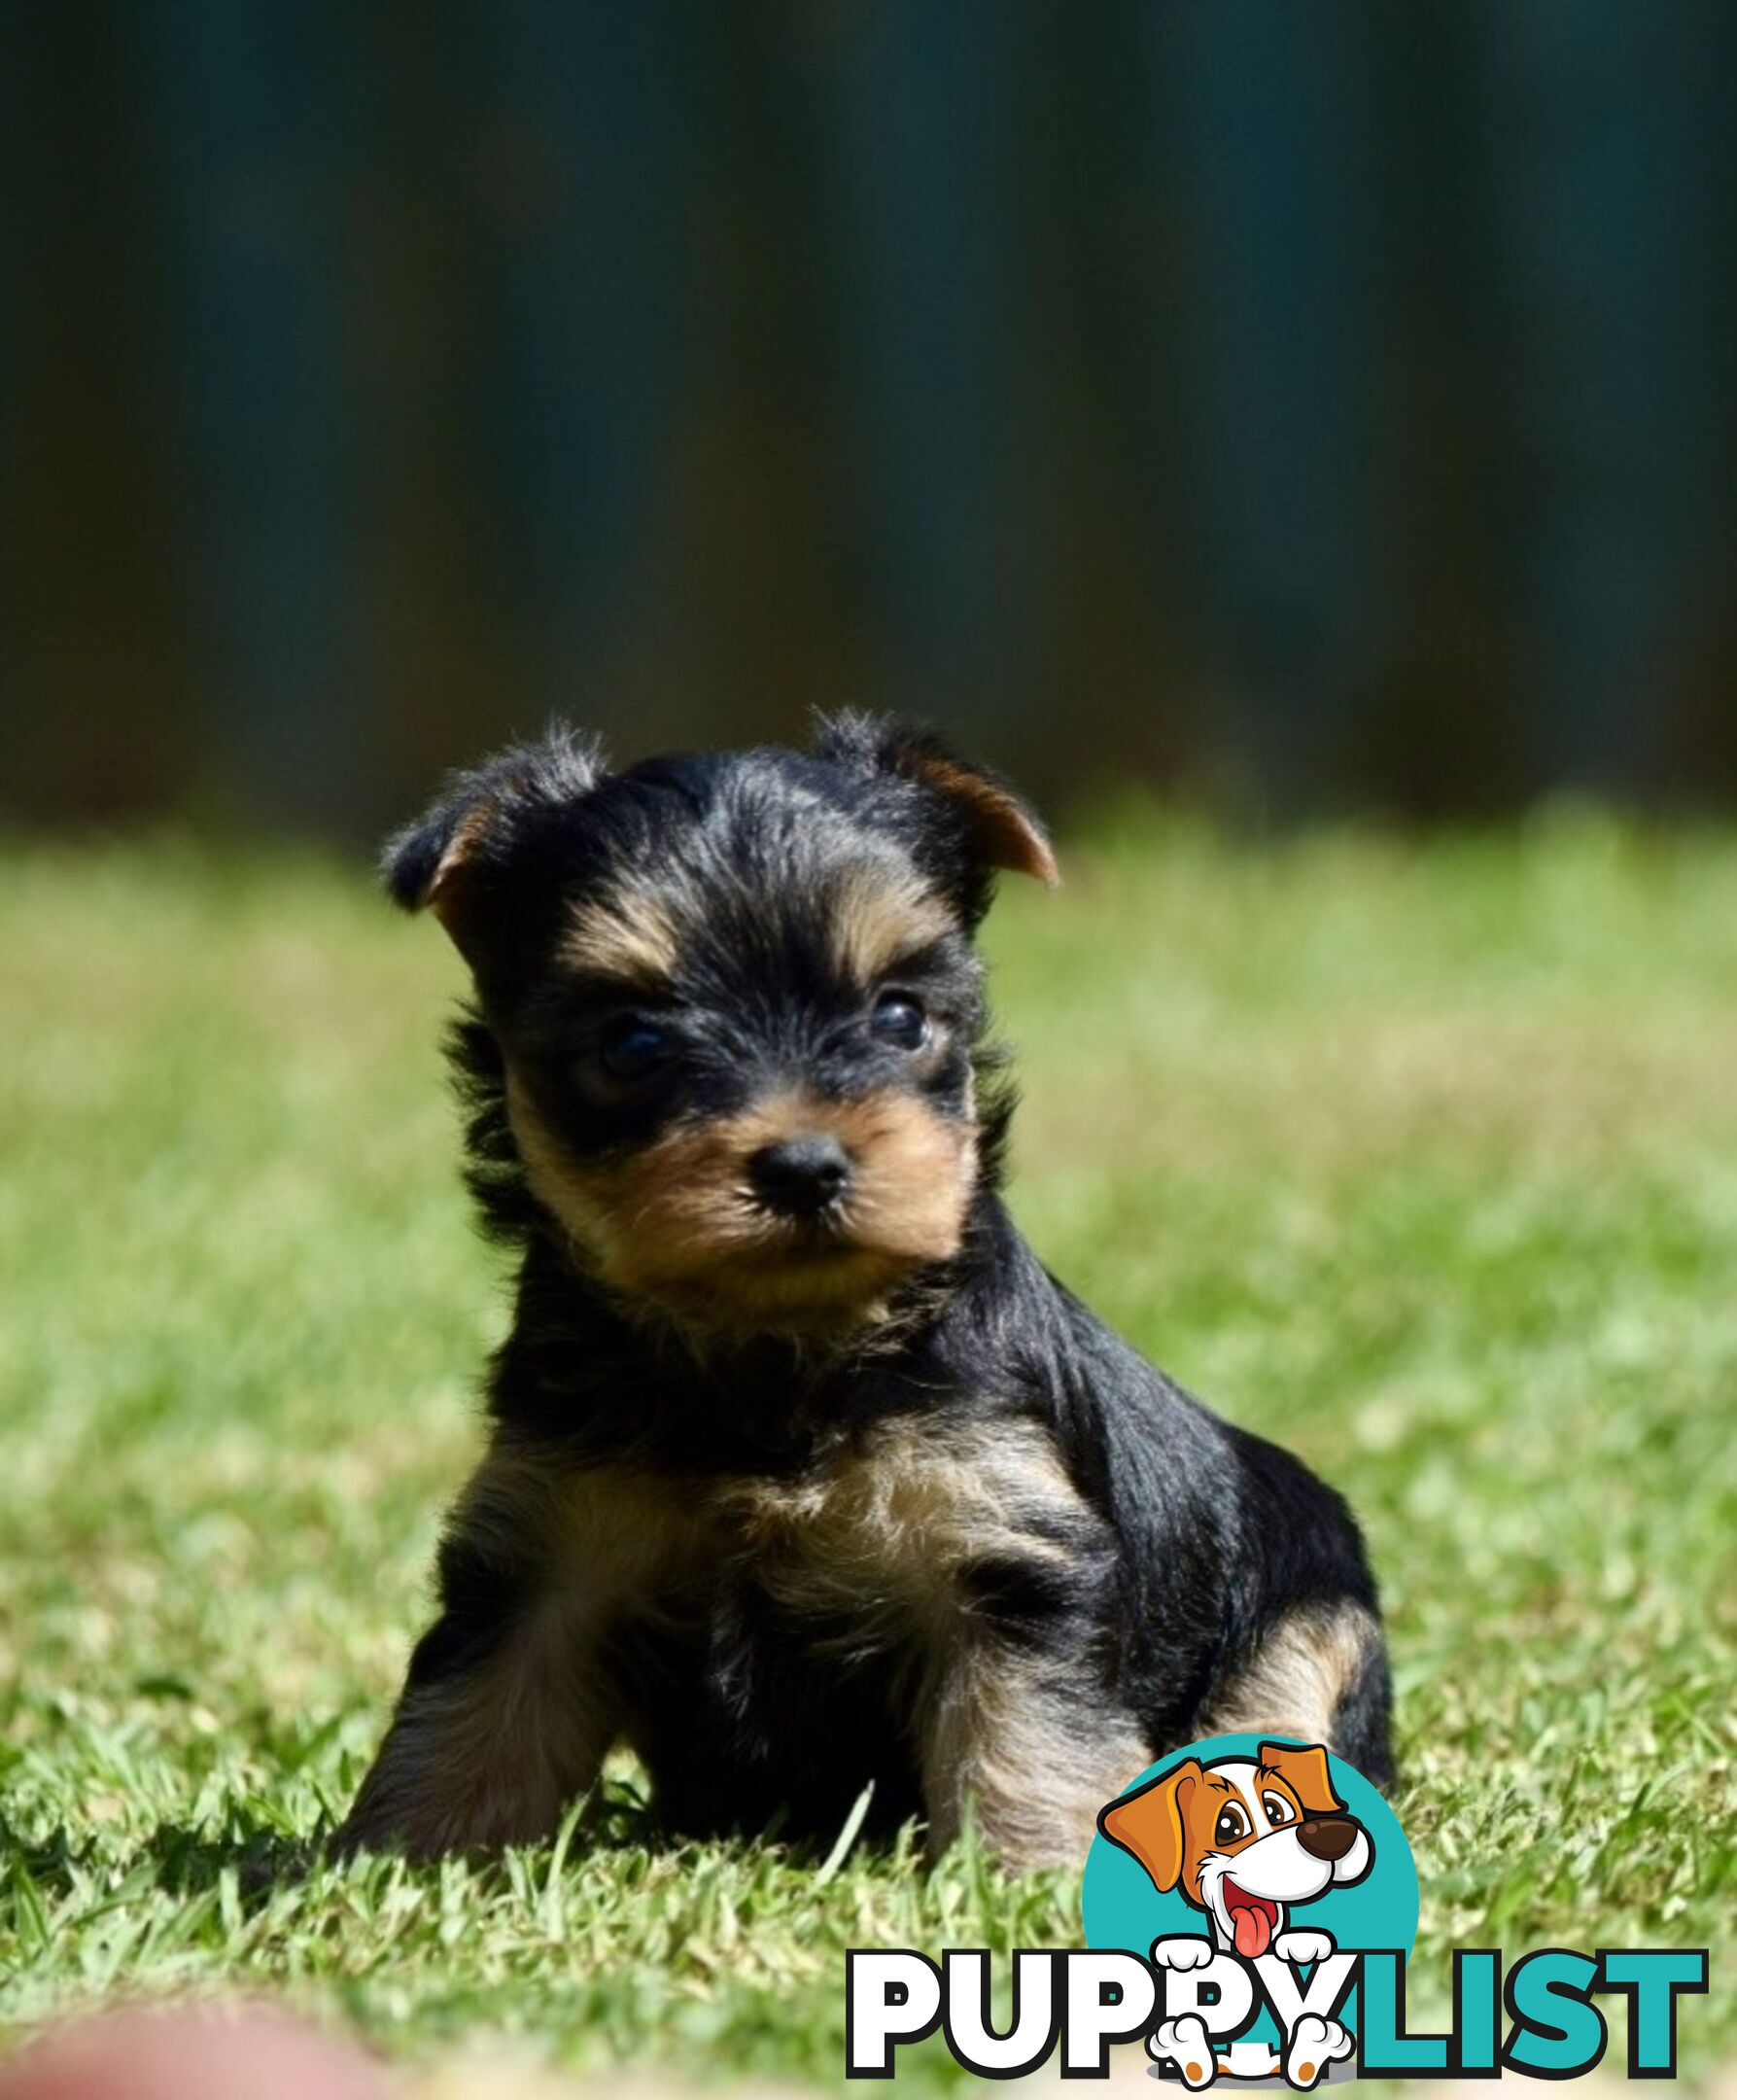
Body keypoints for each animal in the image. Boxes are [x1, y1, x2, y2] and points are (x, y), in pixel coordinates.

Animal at [340, 718, 1403, 1872]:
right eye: (631, 1043)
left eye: (899, 1018)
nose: (804, 1165)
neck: (772, 1346)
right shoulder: (544, 1552)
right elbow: (472, 1716)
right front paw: (396, 1864)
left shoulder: (1007, 1548)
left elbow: (1030, 1732)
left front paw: (1034, 1872)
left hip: (1312, 1621)